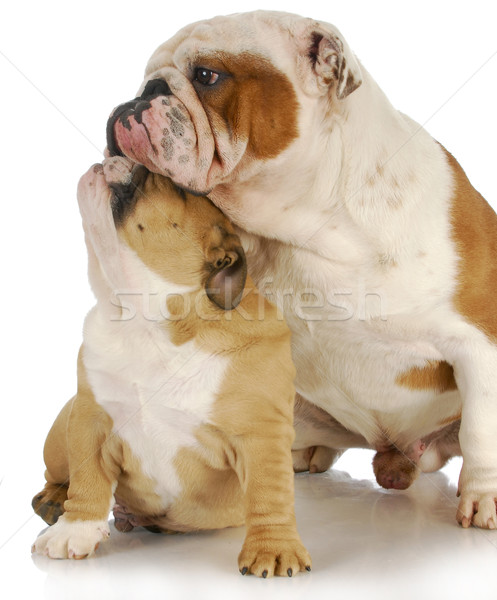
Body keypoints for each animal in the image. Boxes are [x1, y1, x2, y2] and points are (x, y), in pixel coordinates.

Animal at [30, 156, 310, 576]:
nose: (113, 155)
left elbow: (269, 492)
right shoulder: (89, 418)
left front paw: (274, 549)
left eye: (175, 186)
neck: (144, 319)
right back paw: (52, 501)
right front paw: (75, 528)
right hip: (60, 430)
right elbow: (88, 475)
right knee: (58, 475)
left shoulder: (261, 434)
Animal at [106, 8, 496, 524]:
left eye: (206, 75)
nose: (139, 97)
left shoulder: (478, 343)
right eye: (144, 78)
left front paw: (484, 497)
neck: (308, 228)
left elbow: (481, 429)